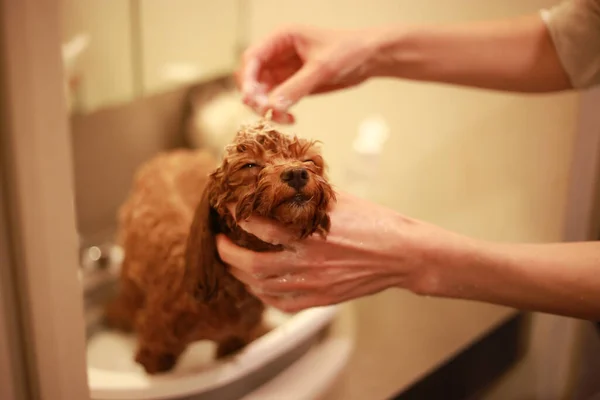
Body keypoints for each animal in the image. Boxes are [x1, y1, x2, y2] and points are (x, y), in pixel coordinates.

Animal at [105, 115, 336, 376]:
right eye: (249, 165)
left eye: (309, 160)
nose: (297, 173)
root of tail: (173, 154)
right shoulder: (156, 345)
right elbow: (153, 360)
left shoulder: (234, 340)